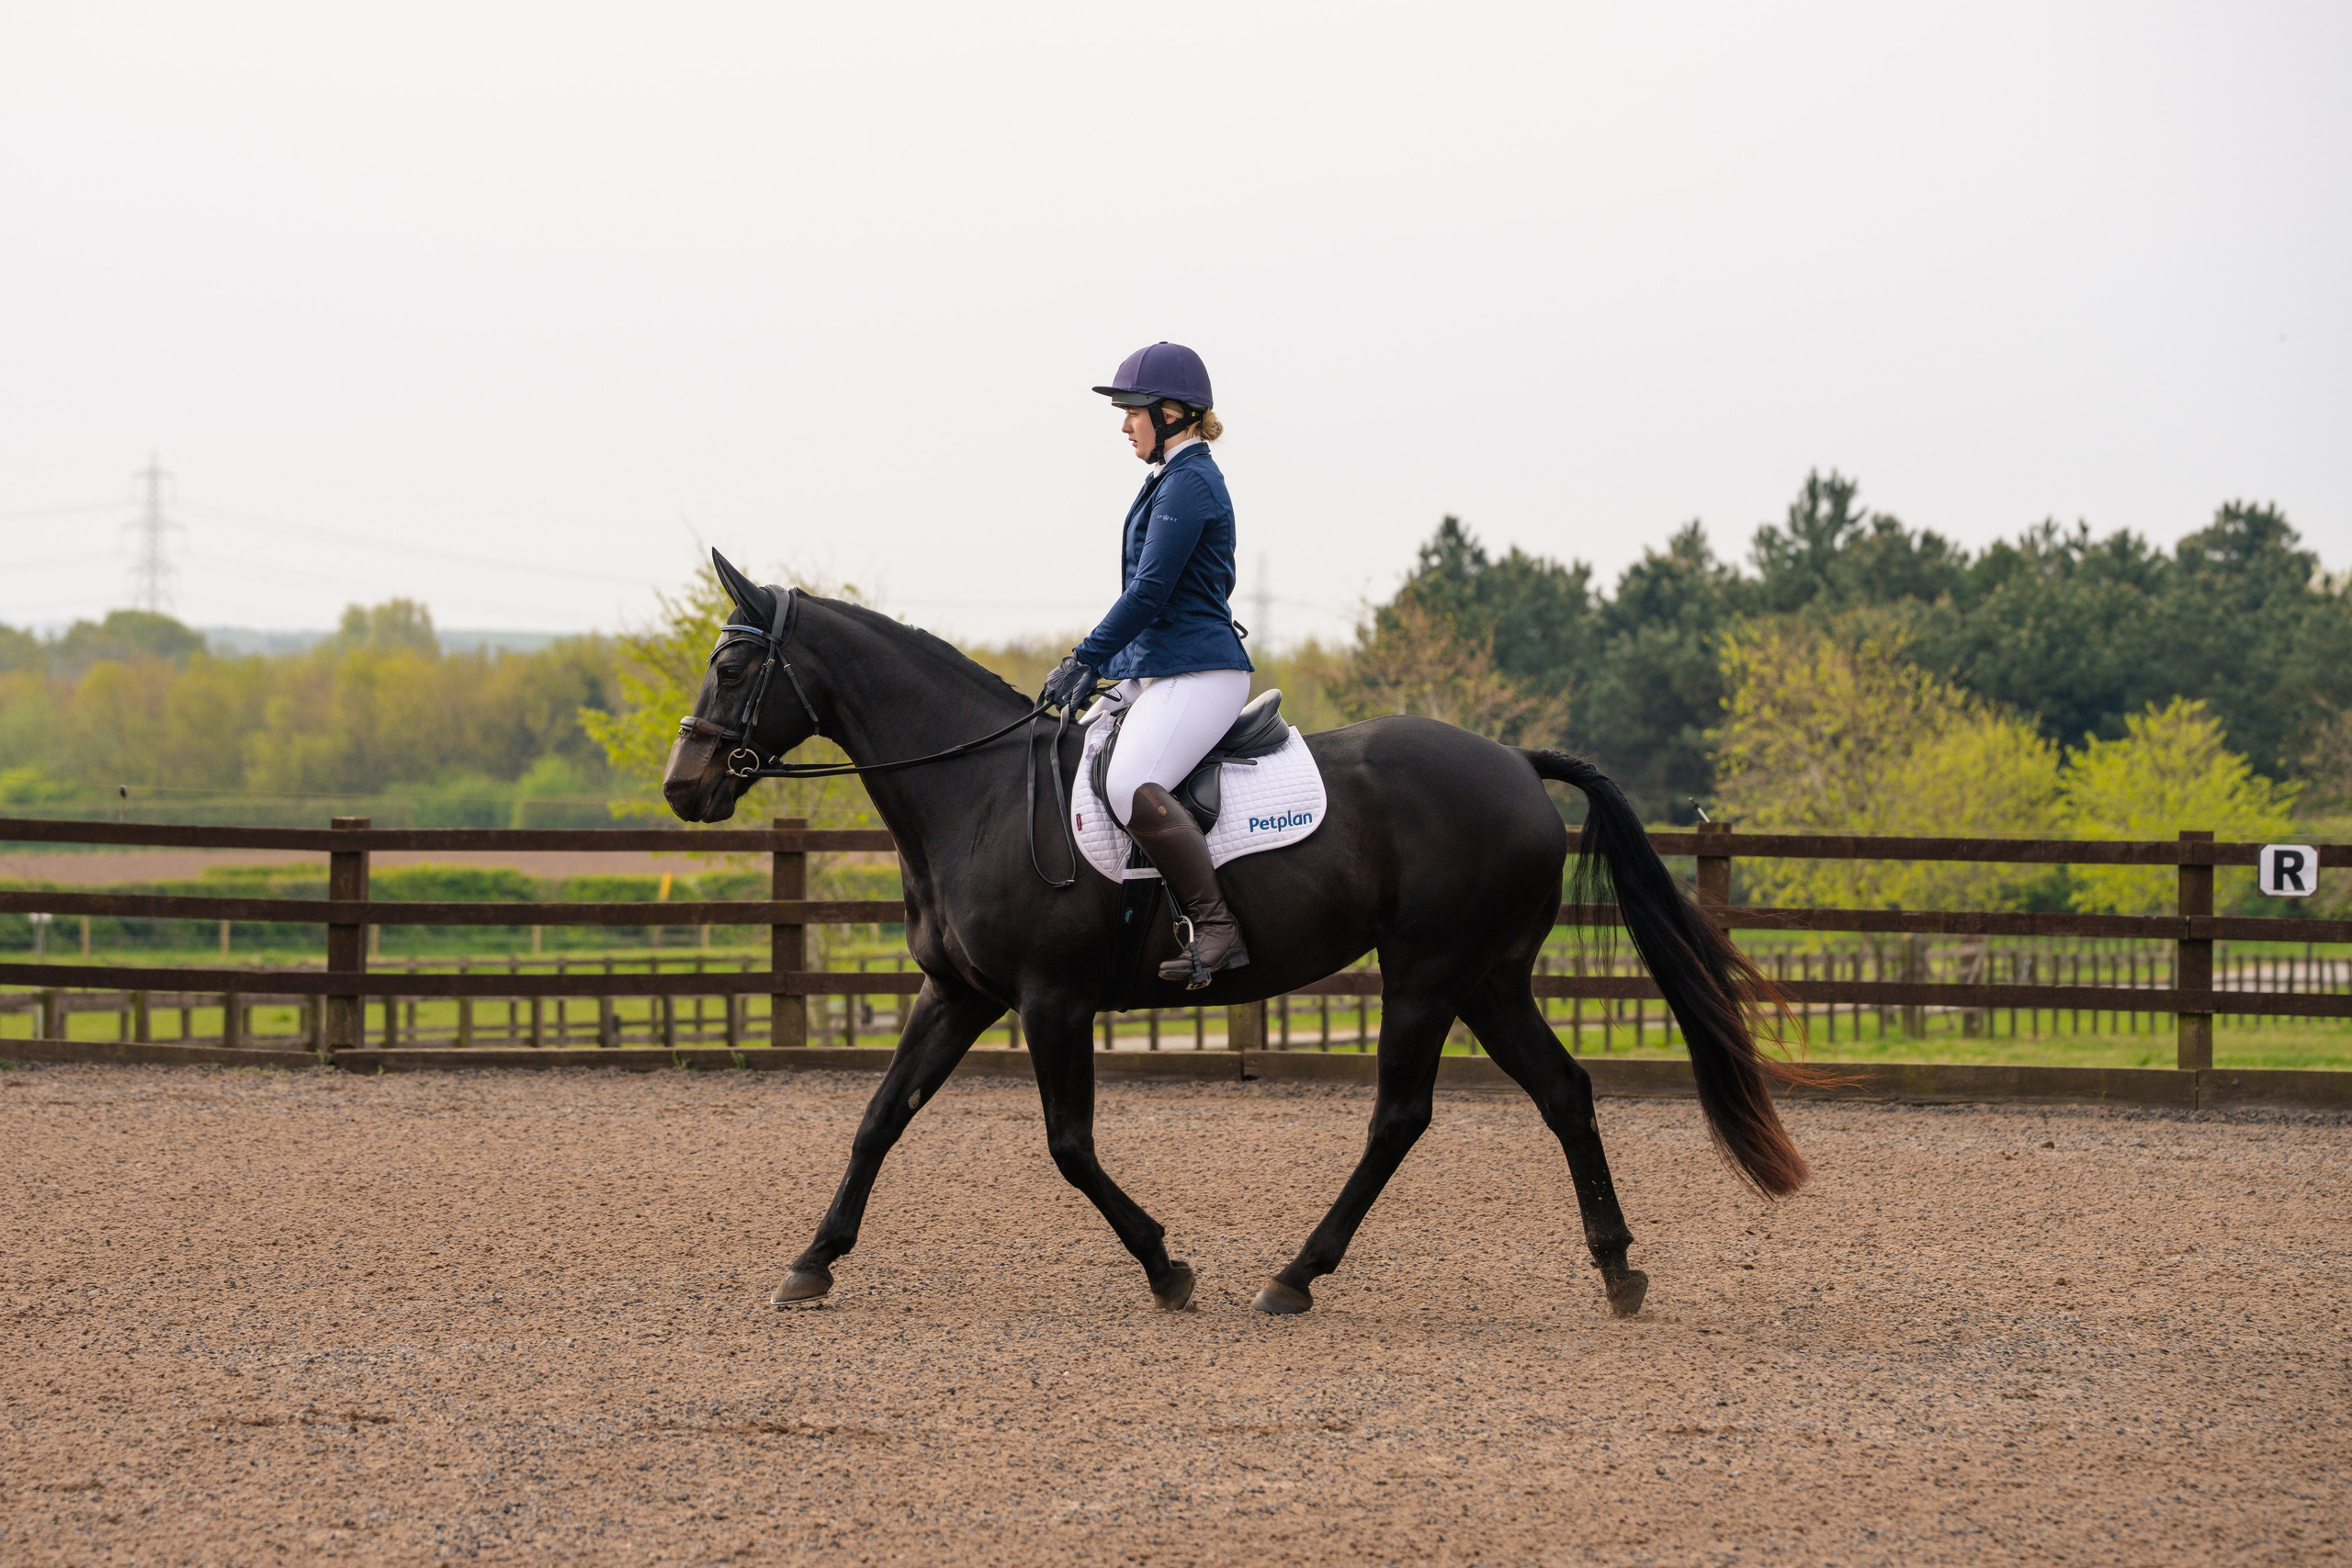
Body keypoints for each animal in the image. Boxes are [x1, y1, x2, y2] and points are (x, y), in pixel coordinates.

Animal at [663, 555, 1807, 1319]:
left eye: (733, 666)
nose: (683, 788)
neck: (976, 791)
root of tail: (1518, 764)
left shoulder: (1049, 1000)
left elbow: (1068, 1146)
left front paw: (1166, 1266)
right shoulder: (958, 994)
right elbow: (877, 1121)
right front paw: (812, 1261)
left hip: (1429, 972)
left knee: (1399, 1117)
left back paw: (1295, 1276)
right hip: (1488, 979)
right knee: (1563, 1093)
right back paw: (1616, 1269)